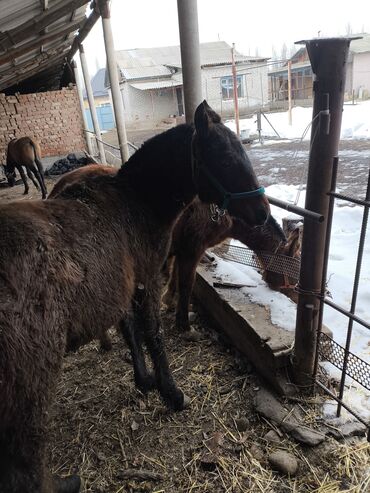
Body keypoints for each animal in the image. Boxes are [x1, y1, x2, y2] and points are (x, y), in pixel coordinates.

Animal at [0, 101, 270, 492]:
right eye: (221, 156)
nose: (262, 212)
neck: (136, 201)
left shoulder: (124, 283)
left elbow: (130, 327)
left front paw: (144, 380)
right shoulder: (149, 277)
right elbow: (152, 331)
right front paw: (171, 393)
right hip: (32, 374)